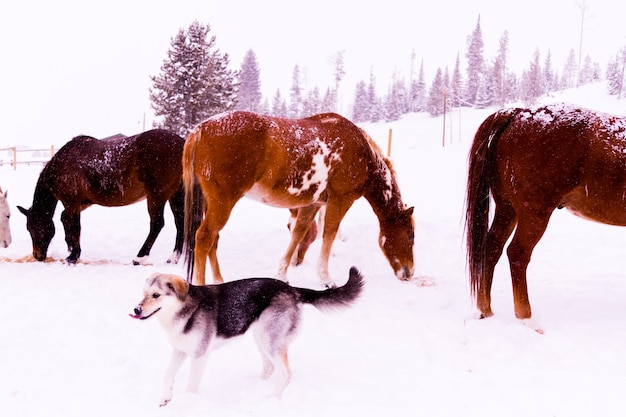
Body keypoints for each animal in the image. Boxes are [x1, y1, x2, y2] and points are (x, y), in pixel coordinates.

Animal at [17, 129, 185, 264]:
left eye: (32, 228)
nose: (37, 256)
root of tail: (181, 143)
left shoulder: (71, 202)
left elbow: (75, 226)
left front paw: (73, 256)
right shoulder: (83, 202)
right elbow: (65, 219)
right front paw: (70, 246)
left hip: (157, 195)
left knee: (157, 224)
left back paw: (140, 257)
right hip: (175, 194)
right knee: (179, 222)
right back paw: (173, 258)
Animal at [128, 266, 360, 406]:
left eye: (156, 295)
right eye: (143, 293)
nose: (136, 310)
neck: (184, 310)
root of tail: (292, 289)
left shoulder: (199, 356)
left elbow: (192, 385)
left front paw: (188, 402)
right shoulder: (180, 350)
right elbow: (168, 375)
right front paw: (166, 398)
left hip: (270, 340)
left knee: (285, 373)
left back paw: (273, 399)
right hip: (261, 338)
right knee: (271, 368)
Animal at [182, 110, 414, 286]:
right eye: (410, 236)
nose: (409, 272)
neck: (363, 154)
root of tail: (201, 129)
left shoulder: (313, 203)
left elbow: (297, 234)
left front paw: (282, 274)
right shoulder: (340, 200)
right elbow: (328, 235)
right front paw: (325, 279)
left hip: (211, 203)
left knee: (213, 240)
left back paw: (219, 281)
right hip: (222, 202)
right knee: (204, 237)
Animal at [464, 102, 626, 326]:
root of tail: (518, 113)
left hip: (507, 209)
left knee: (493, 247)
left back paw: (486, 310)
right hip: (534, 214)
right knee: (517, 254)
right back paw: (527, 318)